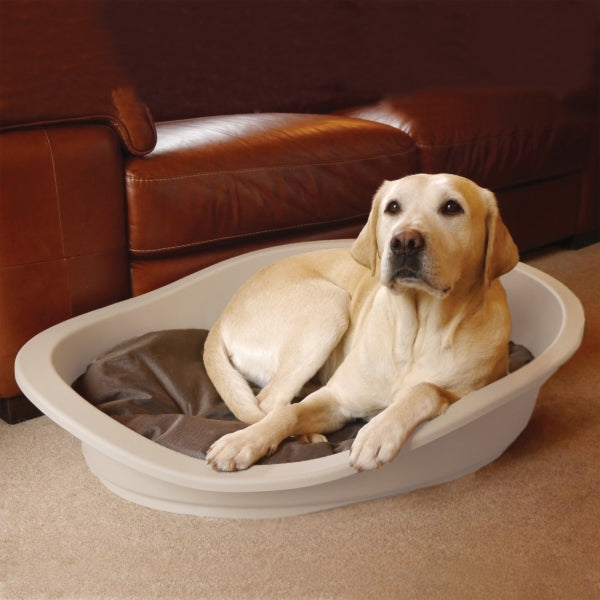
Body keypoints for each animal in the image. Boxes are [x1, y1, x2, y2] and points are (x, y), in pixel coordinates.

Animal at [204, 173, 516, 474]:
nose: (404, 241)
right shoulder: (336, 399)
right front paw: (244, 441)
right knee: (270, 402)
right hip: (330, 306)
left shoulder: (467, 392)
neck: (415, 333)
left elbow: (426, 389)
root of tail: (220, 319)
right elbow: (289, 413)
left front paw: (378, 432)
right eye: (393, 207)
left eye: (452, 207)